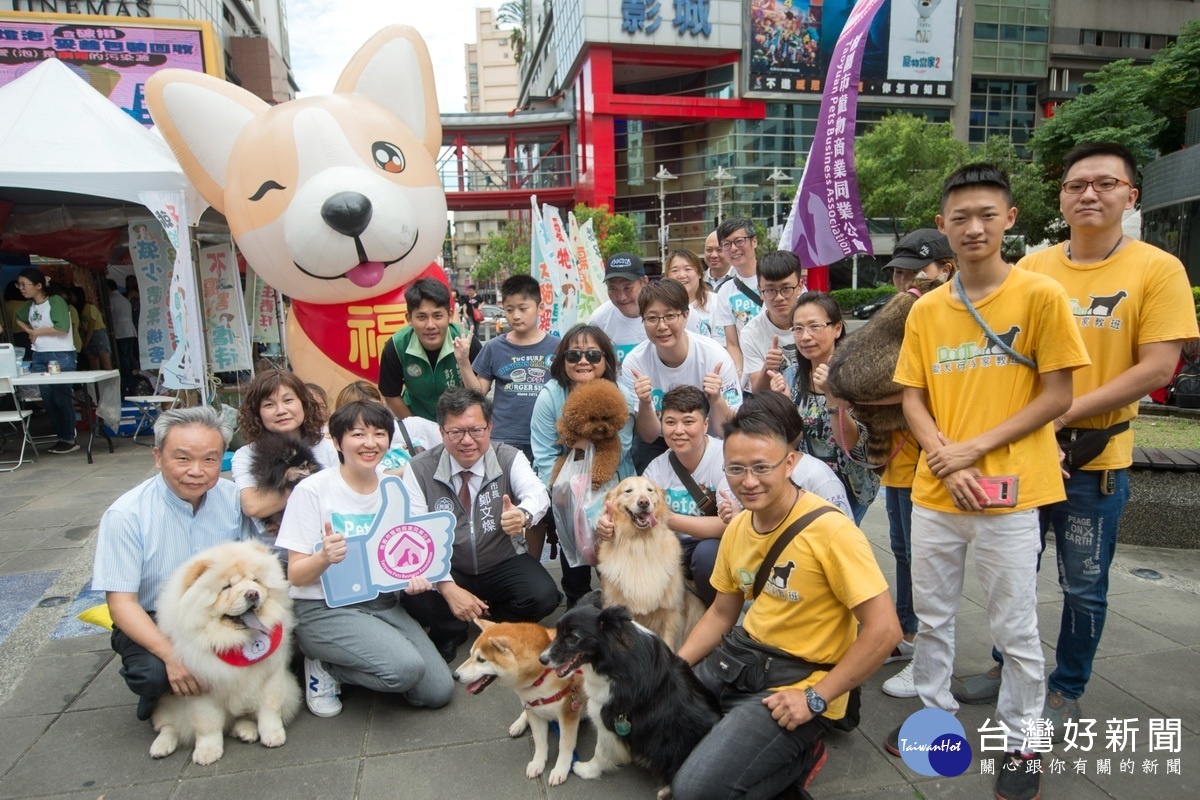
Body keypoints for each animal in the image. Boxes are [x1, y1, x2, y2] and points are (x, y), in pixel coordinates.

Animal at [451, 618, 583, 786]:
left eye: (481, 659)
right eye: (470, 655)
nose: (454, 675)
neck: (542, 676)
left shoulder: (568, 712)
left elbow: (564, 745)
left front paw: (560, 770)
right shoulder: (534, 710)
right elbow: (540, 742)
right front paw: (537, 763)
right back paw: (518, 724)